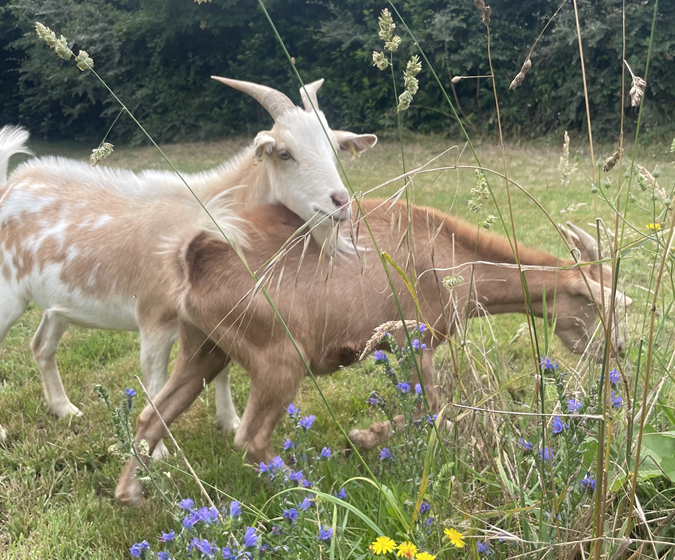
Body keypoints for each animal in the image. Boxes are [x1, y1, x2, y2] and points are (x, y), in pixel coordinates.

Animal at [0, 77, 380, 450]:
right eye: (285, 153)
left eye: (334, 151)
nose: (340, 202)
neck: (214, 211)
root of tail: (10, 183)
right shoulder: (153, 318)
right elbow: (155, 381)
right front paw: (156, 452)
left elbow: (222, 371)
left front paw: (228, 422)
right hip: (8, 294)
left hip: (58, 303)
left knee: (42, 346)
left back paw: (64, 409)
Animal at [117, 198, 632, 504]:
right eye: (592, 302)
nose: (620, 350)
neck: (453, 261)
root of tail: (194, 262)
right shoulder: (412, 338)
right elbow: (436, 410)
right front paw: (363, 437)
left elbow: (437, 411)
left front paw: (366, 437)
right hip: (279, 358)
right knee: (250, 438)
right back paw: (312, 492)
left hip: (204, 348)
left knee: (150, 415)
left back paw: (130, 493)